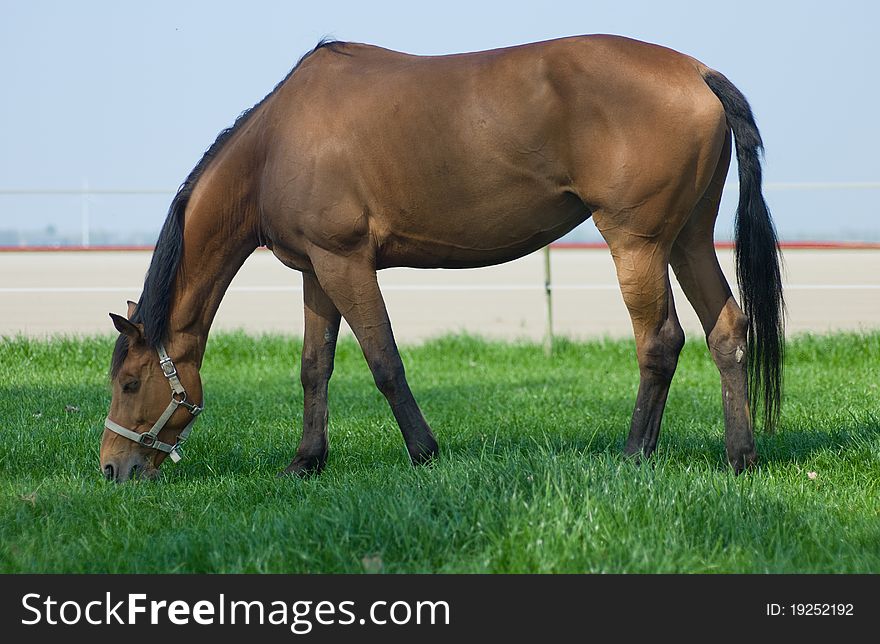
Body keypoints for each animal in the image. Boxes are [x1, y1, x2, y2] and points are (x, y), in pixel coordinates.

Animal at [99, 32, 780, 480]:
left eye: (130, 382)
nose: (111, 468)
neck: (276, 142)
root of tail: (697, 73)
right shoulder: (317, 271)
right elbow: (314, 368)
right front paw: (306, 462)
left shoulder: (346, 262)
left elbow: (384, 361)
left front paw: (423, 452)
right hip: (687, 241)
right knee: (727, 330)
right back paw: (740, 457)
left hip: (636, 243)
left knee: (660, 341)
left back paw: (636, 452)